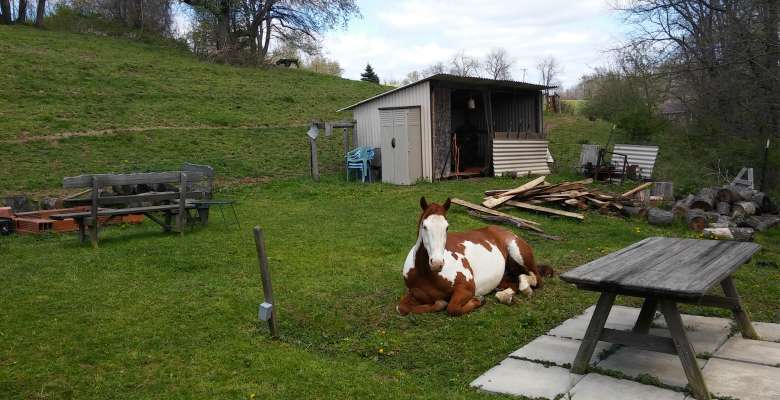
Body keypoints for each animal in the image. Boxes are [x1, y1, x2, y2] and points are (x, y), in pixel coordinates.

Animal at [400, 196, 552, 316]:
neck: (426, 274)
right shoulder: (414, 294)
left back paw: (524, 288)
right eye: (424, 226)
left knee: (535, 279)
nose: (437, 263)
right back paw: (504, 295)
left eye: (447, 227)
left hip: (518, 253)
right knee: (514, 283)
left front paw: (478, 300)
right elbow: (402, 308)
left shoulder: (466, 288)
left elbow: (452, 308)